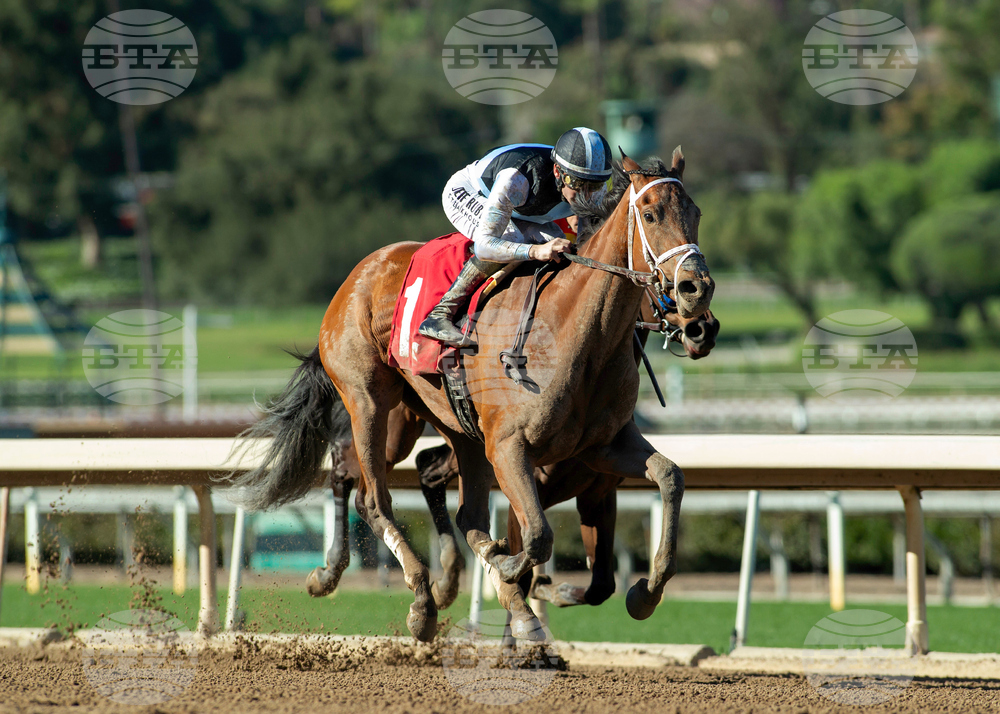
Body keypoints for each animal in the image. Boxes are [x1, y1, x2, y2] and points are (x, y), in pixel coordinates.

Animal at [227, 150, 714, 641]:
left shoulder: (602, 450)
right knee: (371, 496)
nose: (698, 298)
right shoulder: (511, 450)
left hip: (450, 425)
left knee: (454, 507)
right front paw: (516, 579)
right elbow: (536, 536)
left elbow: (669, 478)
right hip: (370, 403)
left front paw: (645, 593)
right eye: (650, 214)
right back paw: (410, 597)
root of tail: (359, 273)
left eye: (695, 214)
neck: (579, 334)